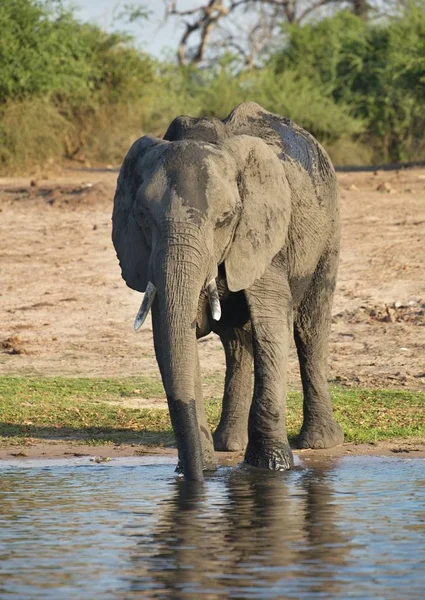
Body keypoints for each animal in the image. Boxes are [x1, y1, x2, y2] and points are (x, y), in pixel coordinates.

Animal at [112, 101, 344, 480]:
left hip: (329, 226)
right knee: (236, 343)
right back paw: (228, 445)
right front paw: (203, 468)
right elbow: (174, 337)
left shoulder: (264, 238)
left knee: (310, 327)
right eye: (143, 216)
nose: (193, 477)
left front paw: (272, 468)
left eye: (225, 219)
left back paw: (319, 443)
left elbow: (272, 327)